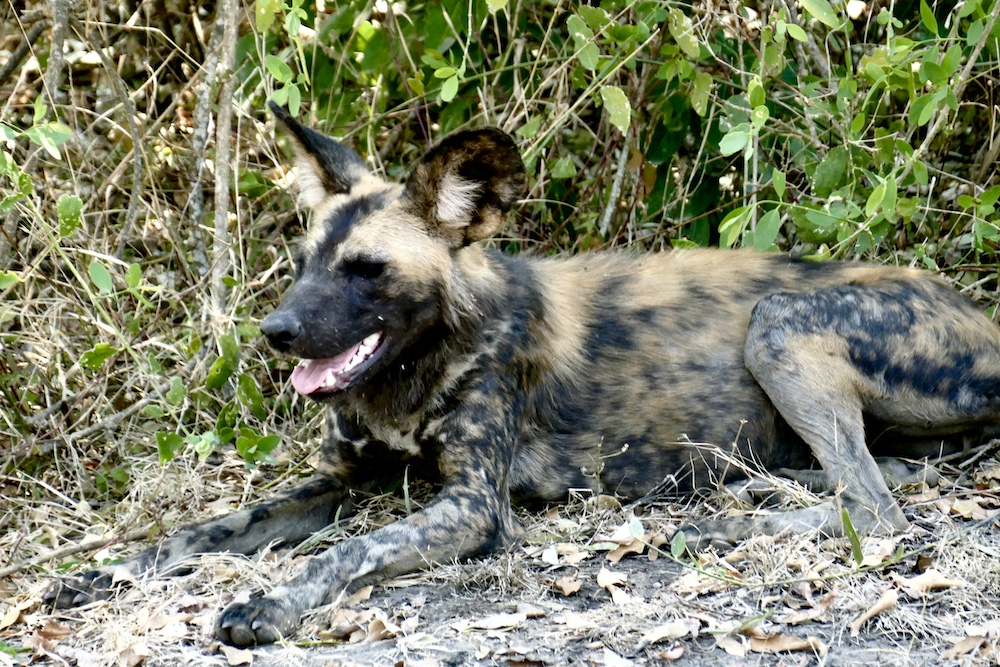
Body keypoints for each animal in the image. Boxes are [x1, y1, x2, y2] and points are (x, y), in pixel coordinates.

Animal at [50, 105, 1000, 648]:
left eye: (366, 270)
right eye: (304, 262)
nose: (275, 333)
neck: (412, 371)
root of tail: (980, 315)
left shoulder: (472, 505)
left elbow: (350, 550)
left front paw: (271, 605)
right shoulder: (334, 482)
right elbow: (195, 532)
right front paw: (104, 574)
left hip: (778, 325)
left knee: (878, 510)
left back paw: (730, 525)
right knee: (878, 478)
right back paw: (756, 496)